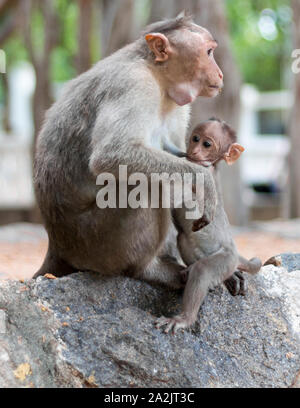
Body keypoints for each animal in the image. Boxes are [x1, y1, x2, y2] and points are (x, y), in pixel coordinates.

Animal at [34, 12, 224, 286]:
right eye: (208, 52)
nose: (220, 74)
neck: (158, 77)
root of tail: (57, 245)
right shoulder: (133, 84)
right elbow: (111, 154)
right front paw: (205, 179)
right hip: (97, 242)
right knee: (147, 183)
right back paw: (147, 269)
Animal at [156, 118, 262, 334]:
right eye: (195, 138)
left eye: (207, 144)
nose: (194, 150)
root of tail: (233, 248)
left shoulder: (199, 170)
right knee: (183, 238)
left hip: (226, 258)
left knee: (203, 270)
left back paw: (185, 318)